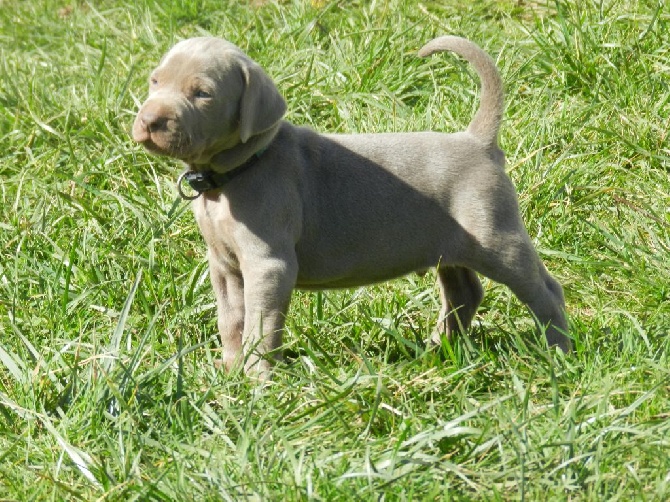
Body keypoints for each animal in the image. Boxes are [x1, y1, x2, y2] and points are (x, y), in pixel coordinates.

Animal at [133, 35, 572, 378]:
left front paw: (257, 380)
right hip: (451, 246)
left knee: (545, 290)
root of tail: (476, 141)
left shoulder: (268, 264)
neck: (235, 173)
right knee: (464, 292)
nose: (150, 120)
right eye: (155, 80)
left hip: (495, 235)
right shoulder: (223, 265)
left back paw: (560, 352)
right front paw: (228, 369)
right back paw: (437, 350)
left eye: (202, 93)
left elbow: (261, 324)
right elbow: (231, 319)